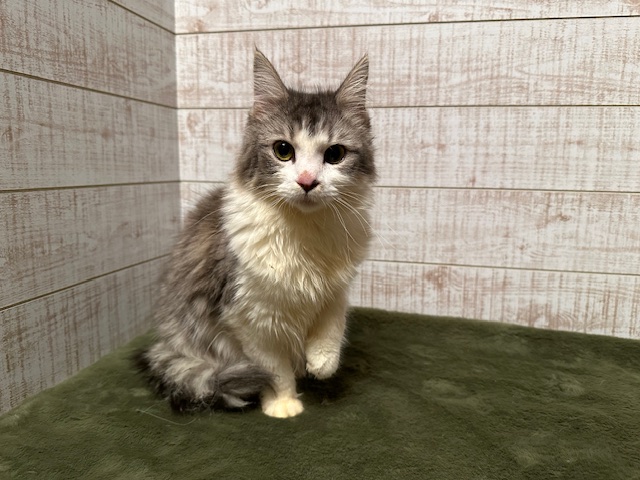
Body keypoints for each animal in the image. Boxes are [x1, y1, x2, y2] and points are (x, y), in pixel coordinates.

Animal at [135, 49, 376, 418]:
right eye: (283, 150)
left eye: (334, 154)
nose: (307, 182)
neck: (304, 231)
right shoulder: (250, 316)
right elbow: (273, 368)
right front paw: (283, 403)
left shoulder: (334, 290)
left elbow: (332, 328)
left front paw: (321, 364)